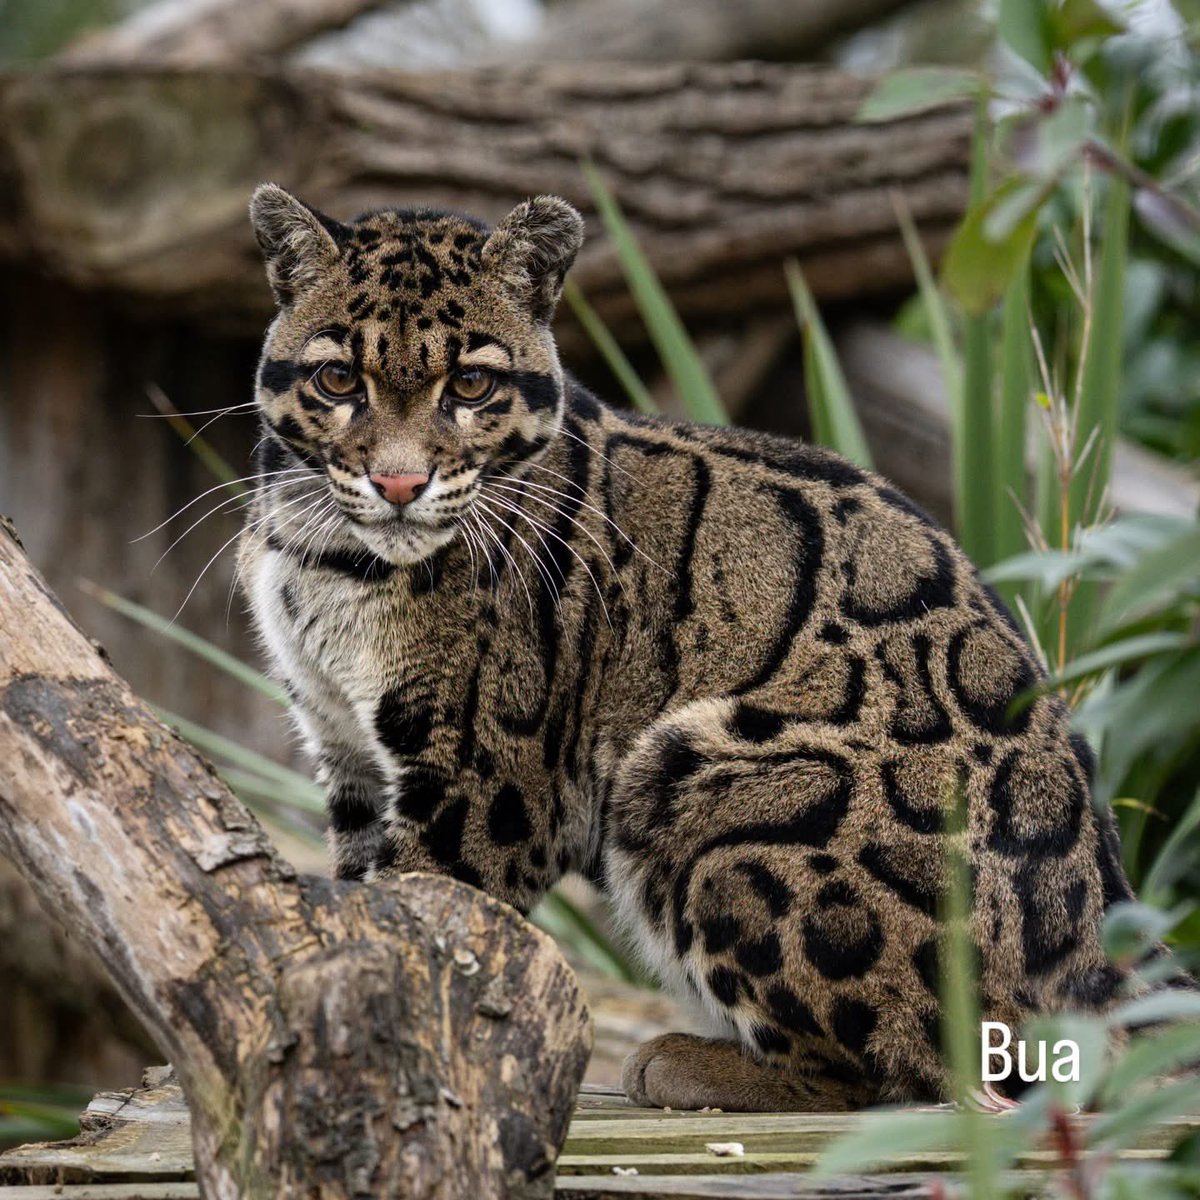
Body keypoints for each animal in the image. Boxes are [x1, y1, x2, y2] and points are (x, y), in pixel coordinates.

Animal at [237, 182, 1160, 1113]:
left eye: (470, 383)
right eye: (337, 379)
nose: (398, 483)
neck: (329, 558)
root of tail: (1099, 969)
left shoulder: (485, 783)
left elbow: (430, 916)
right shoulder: (346, 750)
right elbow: (363, 905)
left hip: (698, 776)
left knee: (902, 1076)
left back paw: (692, 1063)